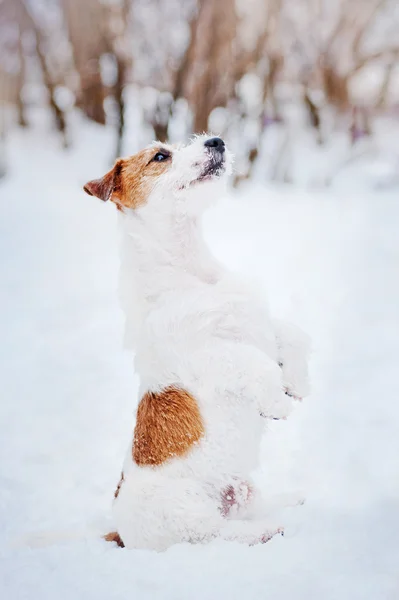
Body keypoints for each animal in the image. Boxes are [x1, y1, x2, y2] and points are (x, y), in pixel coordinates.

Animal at [83, 135, 310, 548]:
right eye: (160, 155)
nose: (216, 140)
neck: (190, 269)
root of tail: (120, 531)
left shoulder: (258, 325)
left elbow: (291, 334)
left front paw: (298, 382)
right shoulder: (210, 356)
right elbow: (256, 364)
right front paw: (277, 403)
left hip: (245, 489)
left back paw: (291, 500)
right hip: (188, 513)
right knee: (219, 534)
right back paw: (268, 529)